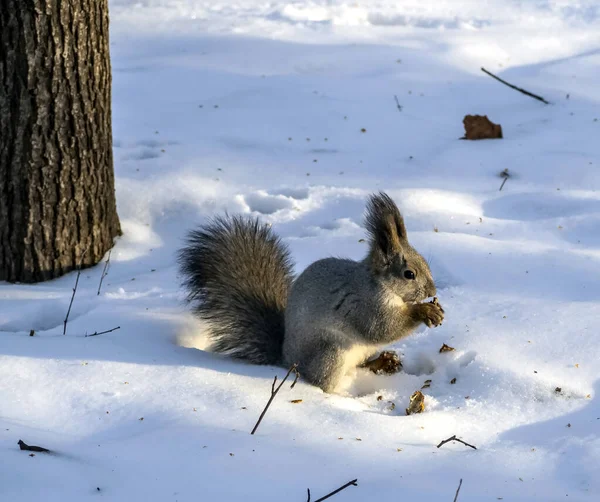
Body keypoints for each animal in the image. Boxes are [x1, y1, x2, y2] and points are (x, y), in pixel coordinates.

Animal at [176, 192, 442, 392]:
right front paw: (425, 311)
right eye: (409, 274)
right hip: (330, 353)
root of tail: (286, 359)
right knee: (321, 382)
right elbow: (382, 329)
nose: (432, 289)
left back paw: (382, 361)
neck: (382, 287)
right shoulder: (364, 304)